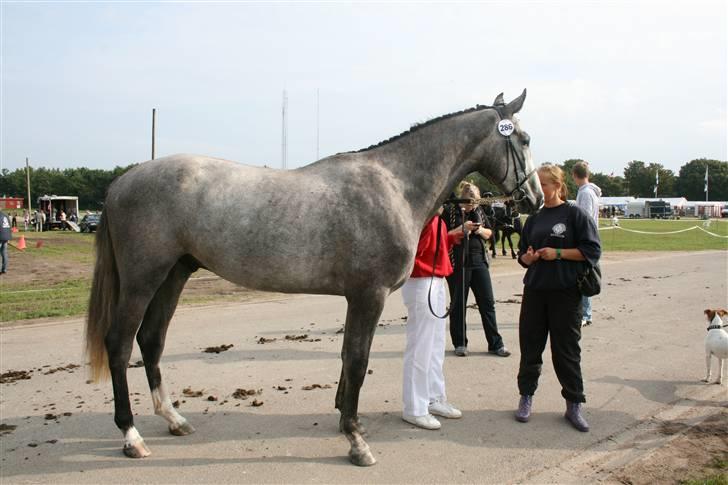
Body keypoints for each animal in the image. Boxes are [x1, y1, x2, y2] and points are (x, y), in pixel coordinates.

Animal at [84, 90, 540, 466]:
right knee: (120, 344)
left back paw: (174, 419)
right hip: (143, 280)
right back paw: (131, 436)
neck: (393, 185)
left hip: (173, 275)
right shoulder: (368, 296)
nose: (532, 199)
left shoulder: (357, 298)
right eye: (525, 139)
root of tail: (121, 182)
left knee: (151, 340)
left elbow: (346, 359)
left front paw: (347, 422)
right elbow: (357, 360)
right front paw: (357, 442)